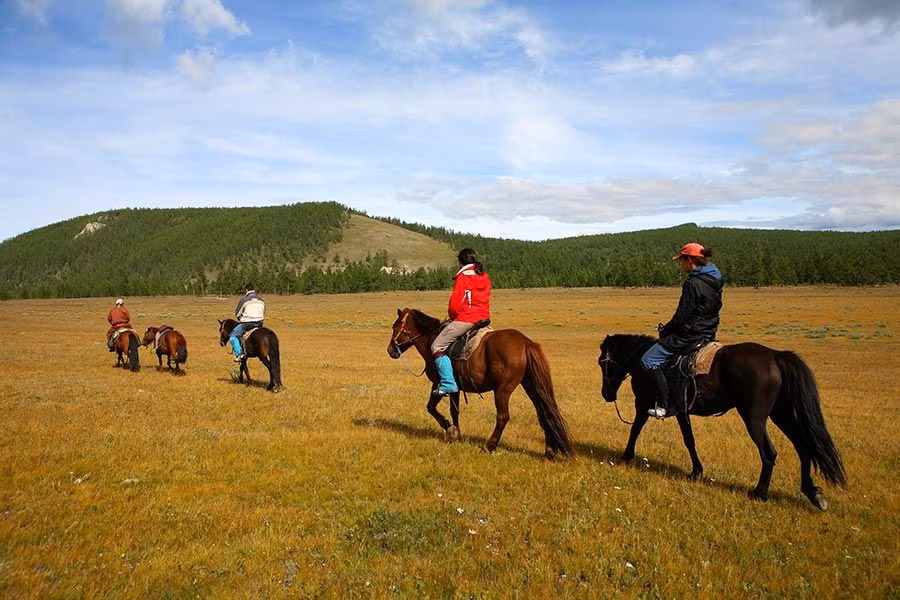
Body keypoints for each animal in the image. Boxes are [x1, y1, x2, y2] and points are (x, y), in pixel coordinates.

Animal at [387, 308, 572, 459]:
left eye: (396, 326)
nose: (390, 350)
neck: (431, 339)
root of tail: (526, 343)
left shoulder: (439, 384)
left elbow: (431, 408)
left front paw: (450, 429)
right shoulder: (456, 388)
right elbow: (454, 411)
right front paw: (457, 433)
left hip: (502, 390)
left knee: (503, 417)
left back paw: (489, 446)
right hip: (531, 386)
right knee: (544, 413)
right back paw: (549, 451)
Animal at [597, 334, 847, 510]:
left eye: (602, 362)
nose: (606, 394)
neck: (641, 362)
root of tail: (776, 355)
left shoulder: (643, 404)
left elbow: (635, 430)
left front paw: (626, 457)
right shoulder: (681, 410)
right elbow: (689, 440)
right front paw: (696, 472)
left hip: (754, 417)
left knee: (769, 452)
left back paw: (759, 493)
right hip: (781, 414)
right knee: (803, 446)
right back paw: (813, 493)